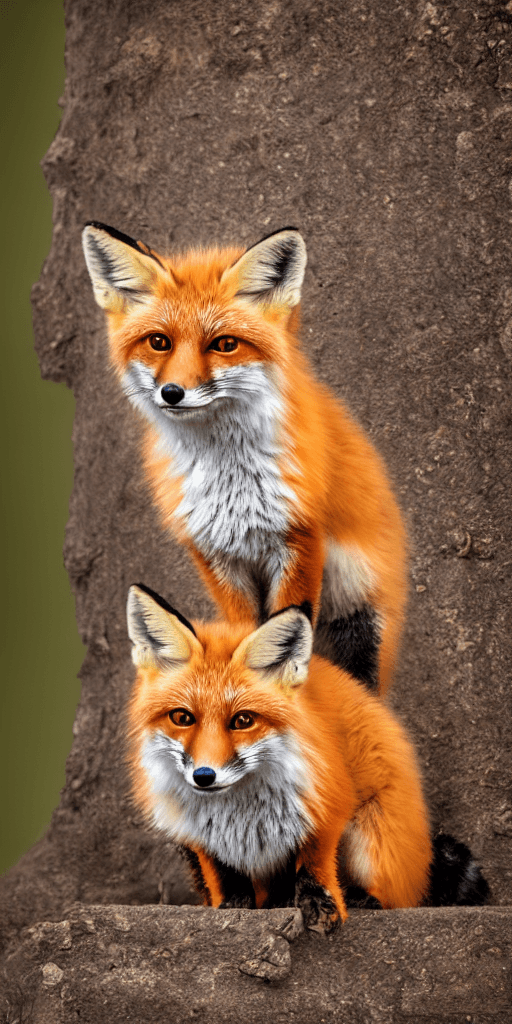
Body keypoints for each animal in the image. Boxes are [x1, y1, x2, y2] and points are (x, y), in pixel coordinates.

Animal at [82, 222, 407, 693]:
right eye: (159, 342)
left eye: (224, 344)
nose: (172, 393)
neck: (229, 480)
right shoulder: (215, 552)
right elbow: (241, 632)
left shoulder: (298, 540)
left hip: (363, 620)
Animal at [126, 583, 435, 928]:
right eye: (182, 718)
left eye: (243, 720)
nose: (204, 776)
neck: (237, 810)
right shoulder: (197, 833)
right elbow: (225, 876)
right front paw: (234, 907)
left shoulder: (324, 802)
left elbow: (313, 864)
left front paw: (319, 902)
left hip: (370, 839)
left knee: (392, 896)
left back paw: (361, 899)